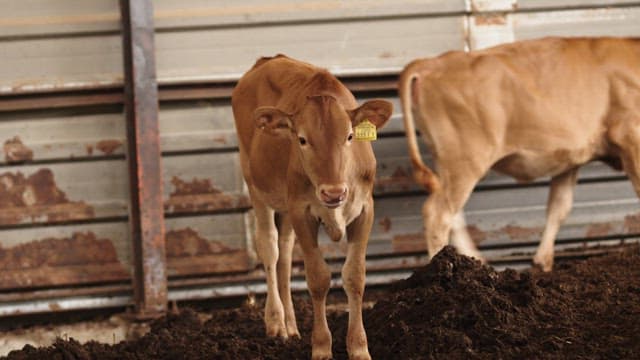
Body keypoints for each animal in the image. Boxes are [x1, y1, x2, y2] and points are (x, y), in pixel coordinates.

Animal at [230, 54, 390, 360]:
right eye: (302, 140)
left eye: (350, 136)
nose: (333, 192)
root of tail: (267, 60)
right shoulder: (301, 211)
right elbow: (318, 278)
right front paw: (321, 347)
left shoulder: (365, 210)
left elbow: (355, 276)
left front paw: (359, 348)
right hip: (255, 183)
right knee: (270, 248)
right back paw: (276, 322)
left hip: (285, 206)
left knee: (285, 252)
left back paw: (291, 326)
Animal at [400, 38, 640, 272]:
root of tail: (431, 62)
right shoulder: (630, 135)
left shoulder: (571, 160)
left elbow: (558, 207)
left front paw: (542, 262)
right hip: (466, 158)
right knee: (438, 214)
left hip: (449, 161)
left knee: (453, 214)